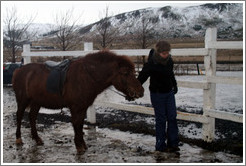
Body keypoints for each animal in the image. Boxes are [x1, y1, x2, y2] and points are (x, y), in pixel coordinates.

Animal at [12, 50, 144, 153]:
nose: (141, 91)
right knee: (19, 116)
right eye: (125, 73)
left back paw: (37, 139)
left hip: (36, 102)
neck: (86, 76)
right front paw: (79, 146)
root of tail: (18, 70)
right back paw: (18, 139)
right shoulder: (75, 107)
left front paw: (83, 145)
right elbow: (76, 124)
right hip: (23, 100)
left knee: (32, 117)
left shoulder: (82, 107)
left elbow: (80, 124)